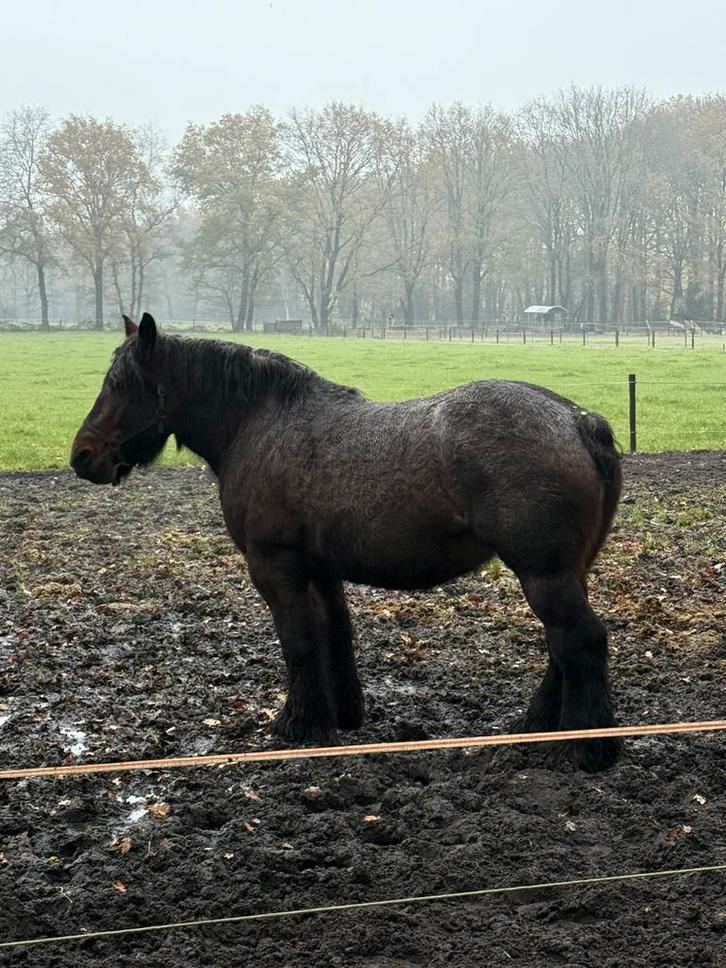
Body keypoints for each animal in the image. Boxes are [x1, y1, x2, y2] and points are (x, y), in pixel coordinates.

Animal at [71, 313, 623, 772]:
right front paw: (341, 714)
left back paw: (589, 747)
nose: (82, 455)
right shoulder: (319, 569)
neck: (262, 424)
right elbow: (332, 635)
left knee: (582, 641)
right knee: (561, 646)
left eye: (119, 384)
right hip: (563, 573)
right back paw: (538, 727)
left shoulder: (275, 568)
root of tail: (577, 420)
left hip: (543, 573)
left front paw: (298, 723)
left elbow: (297, 642)